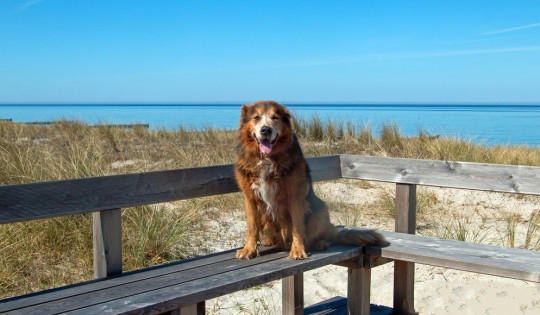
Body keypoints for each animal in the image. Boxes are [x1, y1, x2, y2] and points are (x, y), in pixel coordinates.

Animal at [234, 100, 386, 260]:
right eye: (256, 118)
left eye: (275, 117)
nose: (265, 130)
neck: (266, 159)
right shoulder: (250, 198)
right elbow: (252, 227)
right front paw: (249, 249)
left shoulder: (295, 196)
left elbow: (297, 226)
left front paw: (297, 249)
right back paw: (268, 241)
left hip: (320, 211)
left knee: (327, 235)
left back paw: (321, 243)